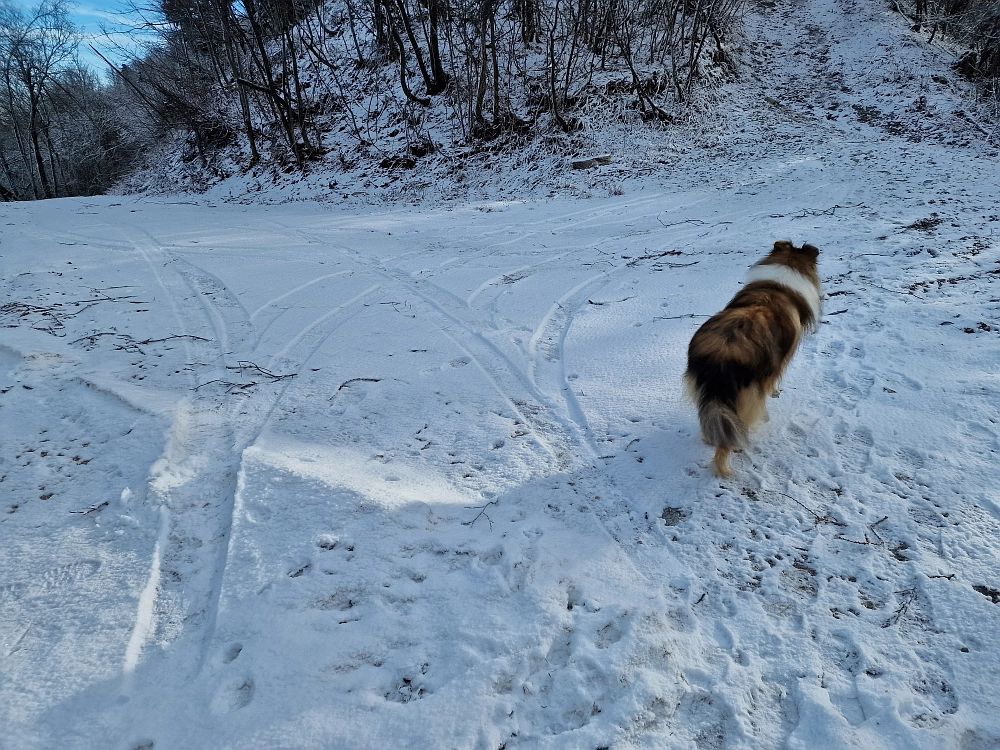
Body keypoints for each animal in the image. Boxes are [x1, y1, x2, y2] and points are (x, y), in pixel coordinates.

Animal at [688, 241, 820, 476]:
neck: (777, 286)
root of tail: (722, 352)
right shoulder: (778, 365)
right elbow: (773, 383)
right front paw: (774, 393)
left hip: (706, 394)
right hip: (745, 393)